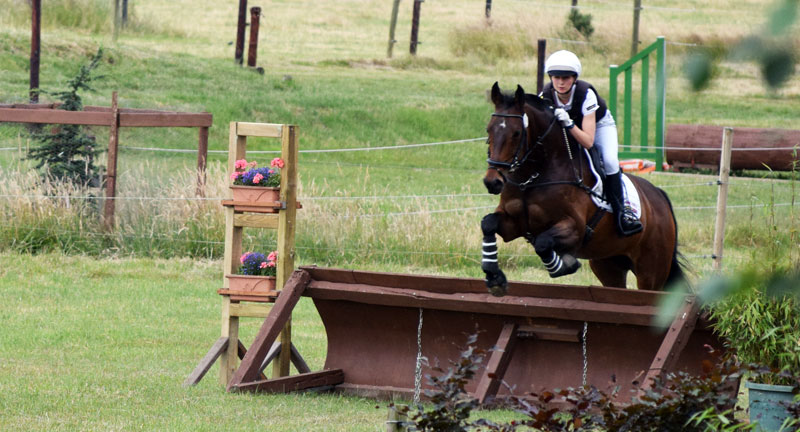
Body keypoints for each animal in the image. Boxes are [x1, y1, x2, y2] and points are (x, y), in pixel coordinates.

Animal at [480, 82, 684, 296]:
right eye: (488, 130)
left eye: (517, 133)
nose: (492, 182)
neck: (533, 177)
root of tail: (660, 197)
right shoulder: (513, 224)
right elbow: (488, 224)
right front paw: (494, 276)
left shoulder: (575, 228)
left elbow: (543, 243)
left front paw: (565, 265)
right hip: (608, 264)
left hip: (651, 270)